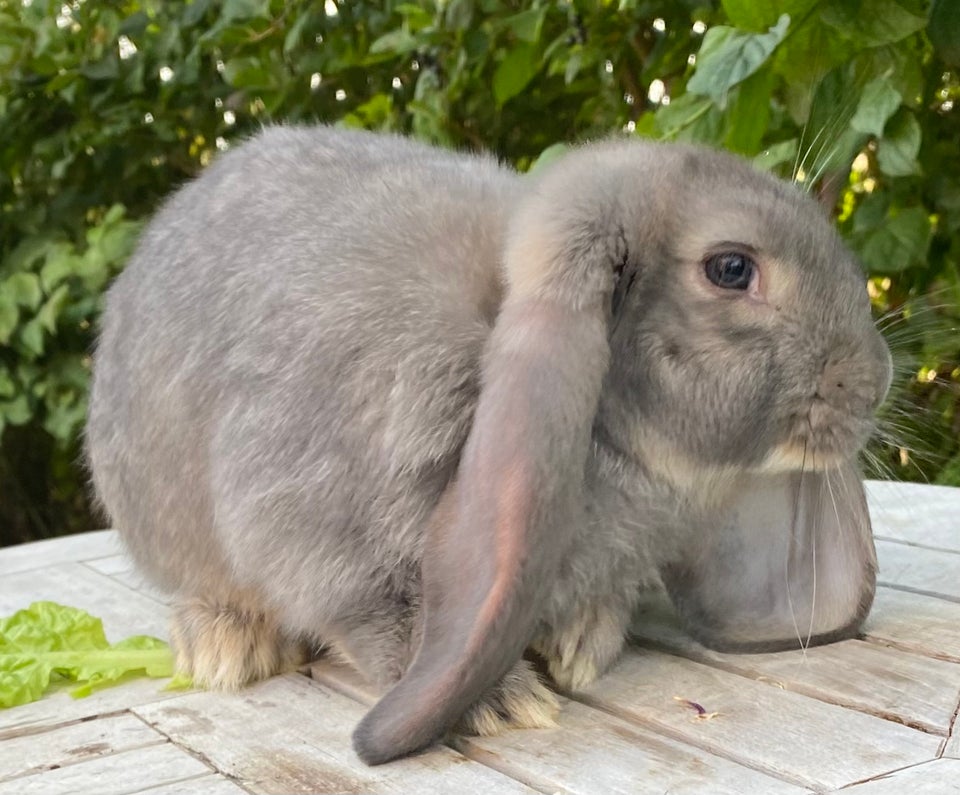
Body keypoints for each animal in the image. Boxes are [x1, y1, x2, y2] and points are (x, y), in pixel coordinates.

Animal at [84, 124, 892, 764]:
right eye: (731, 268)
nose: (876, 379)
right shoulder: (319, 533)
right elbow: (384, 619)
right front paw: (503, 703)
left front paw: (578, 648)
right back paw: (227, 647)